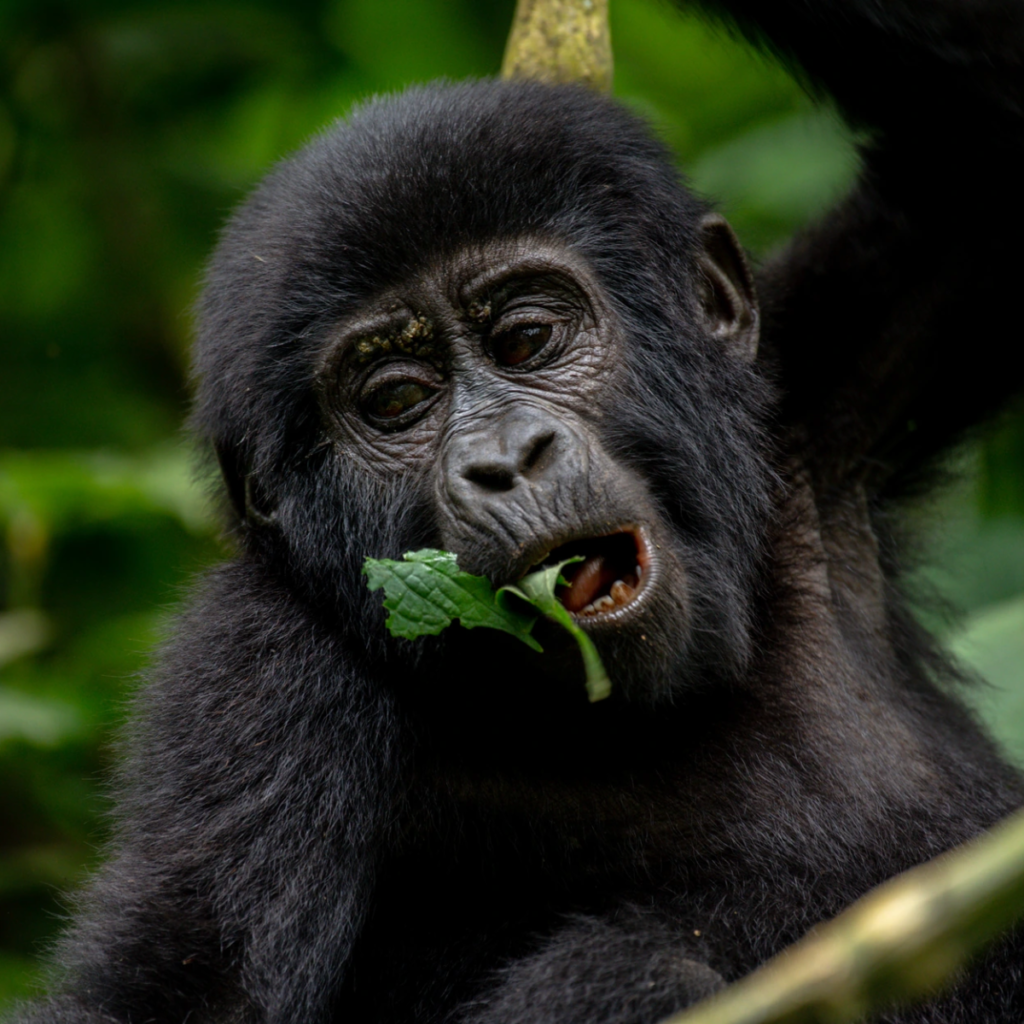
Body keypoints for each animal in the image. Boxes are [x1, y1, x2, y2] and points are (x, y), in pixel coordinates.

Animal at [9, 0, 1024, 1022]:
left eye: (528, 337)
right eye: (395, 400)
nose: (505, 460)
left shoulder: (818, 384)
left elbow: (980, 147)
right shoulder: (251, 673)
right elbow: (182, 982)